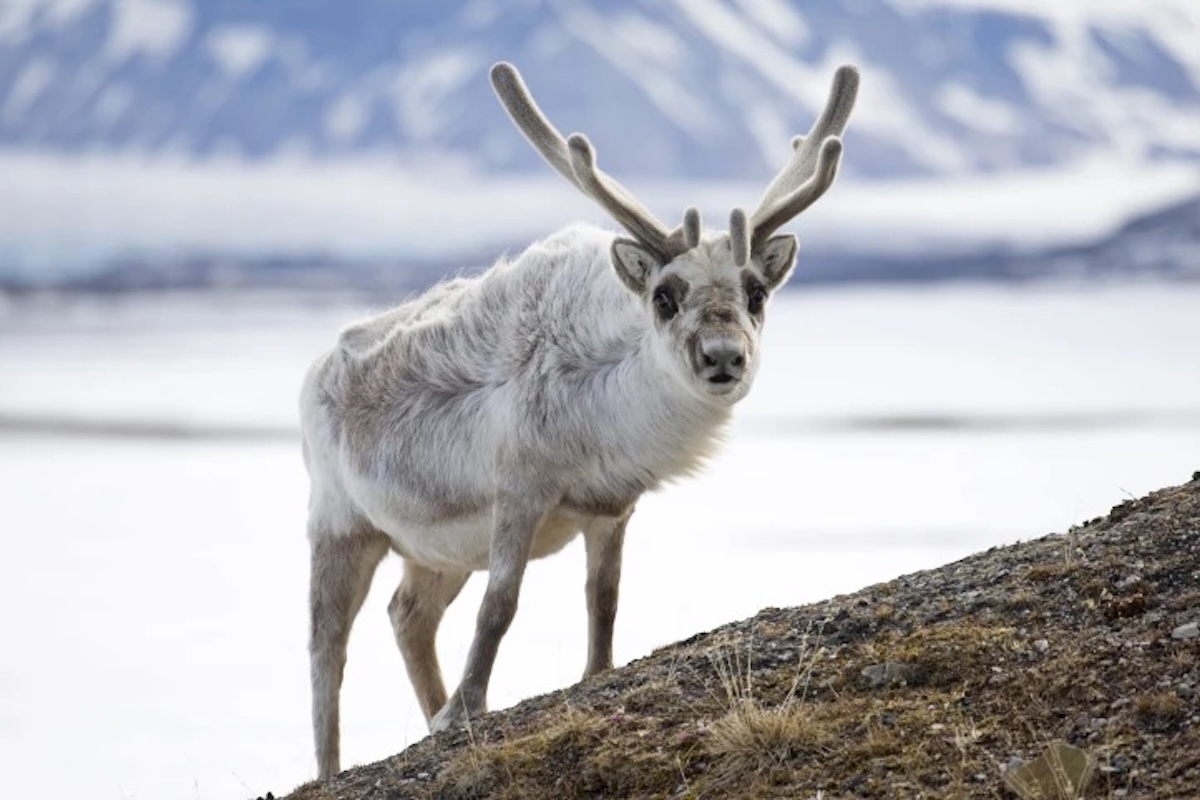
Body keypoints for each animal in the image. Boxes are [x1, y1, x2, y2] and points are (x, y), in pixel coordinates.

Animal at [300, 59, 859, 779]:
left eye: (755, 293)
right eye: (664, 295)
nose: (723, 356)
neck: (606, 399)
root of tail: (316, 369)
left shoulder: (612, 504)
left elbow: (605, 597)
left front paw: (594, 671)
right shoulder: (519, 486)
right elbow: (500, 605)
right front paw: (466, 709)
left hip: (435, 550)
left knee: (407, 615)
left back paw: (427, 709)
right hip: (341, 524)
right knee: (326, 649)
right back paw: (336, 764)